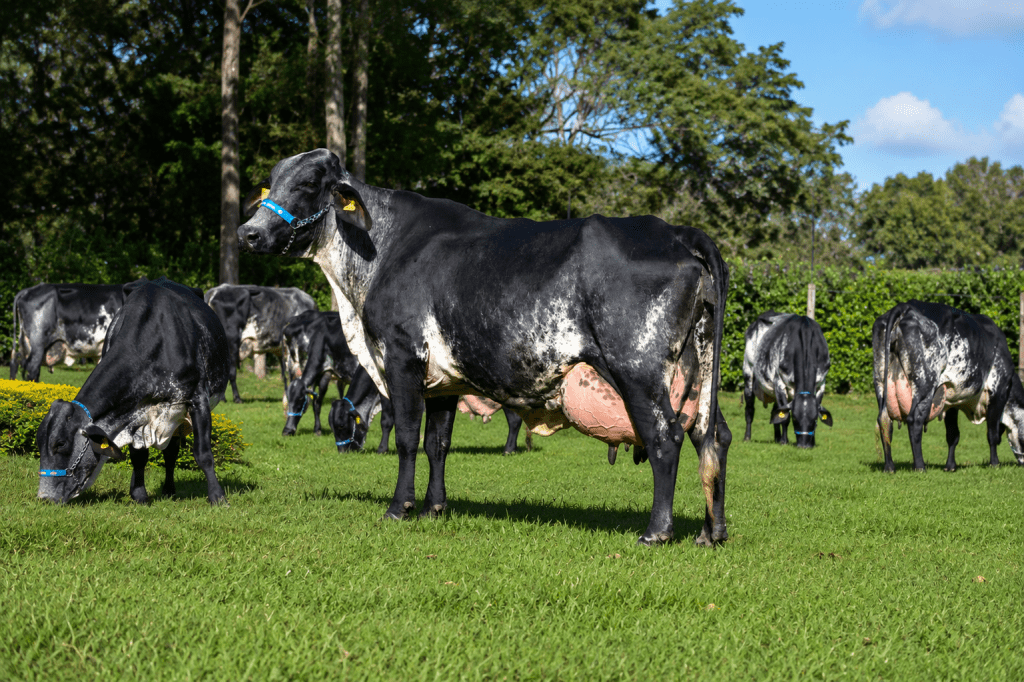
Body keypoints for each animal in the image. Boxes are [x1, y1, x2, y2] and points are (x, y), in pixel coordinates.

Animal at [36, 278, 231, 505]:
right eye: (39, 442)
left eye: (60, 443)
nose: (45, 497)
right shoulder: (134, 413)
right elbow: (139, 457)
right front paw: (139, 495)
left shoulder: (197, 400)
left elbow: (203, 454)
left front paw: (218, 497)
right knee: (170, 452)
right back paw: (168, 489)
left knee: (172, 452)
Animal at [237, 148, 731, 547]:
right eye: (272, 181)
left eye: (307, 184)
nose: (248, 233)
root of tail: (675, 232)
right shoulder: (442, 382)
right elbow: (437, 443)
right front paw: (434, 507)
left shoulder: (401, 357)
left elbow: (406, 438)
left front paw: (399, 508)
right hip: (698, 374)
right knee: (713, 436)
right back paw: (712, 532)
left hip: (637, 370)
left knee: (666, 438)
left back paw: (657, 531)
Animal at [742, 312, 833, 448]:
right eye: (795, 418)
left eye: (815, 418)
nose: (804, 445)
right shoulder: (780, 383)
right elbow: (784, 417)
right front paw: (784, 441)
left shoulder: (821, 384)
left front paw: (812, 442)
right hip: (748, 373)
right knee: (749, 409)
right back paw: (747, 437)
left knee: (774, 412)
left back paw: (777, 437)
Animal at [874, 300, 1024, 472]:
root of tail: (905, 306)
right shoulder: (998, 391)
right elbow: (992, 435)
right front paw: (994, 463)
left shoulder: (951, 400)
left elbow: (953, 435)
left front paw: (950, 466)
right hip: (925, 384)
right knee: (914, 420)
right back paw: (920, 466)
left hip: (881, 382)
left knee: (884, 420)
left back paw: (889, 467)